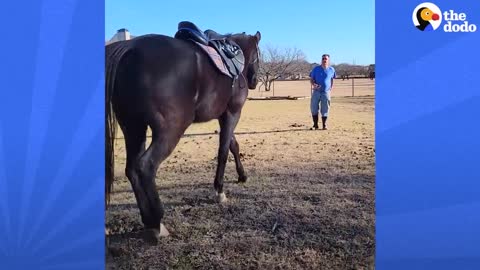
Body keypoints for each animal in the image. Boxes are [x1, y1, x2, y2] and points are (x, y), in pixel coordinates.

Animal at [106, 29, 262, 240]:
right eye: (258, 54)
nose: (254, 81)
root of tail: (129, 47)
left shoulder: (223, 116)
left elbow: (233, 145)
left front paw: (242, 175)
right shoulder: (232, 113)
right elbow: (223, 151)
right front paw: (219, 190)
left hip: (133, 128)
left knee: (131, 169)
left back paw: (148, 221)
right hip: (171, 129)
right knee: (145, 166)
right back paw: (157, 220)